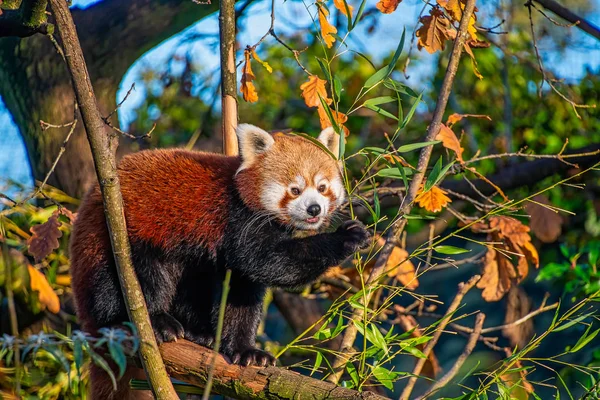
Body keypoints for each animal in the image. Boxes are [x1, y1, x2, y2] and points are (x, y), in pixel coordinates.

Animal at [69, 124, 370, 396]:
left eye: (322, 187)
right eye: (295, 190)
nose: (314, 209)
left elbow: (242, 294)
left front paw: (246, 351)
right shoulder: (238, 220)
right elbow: (267, 261)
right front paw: (346, 237)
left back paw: (199, 334)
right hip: (116, 234)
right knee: (136, 280)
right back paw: (150, 321)